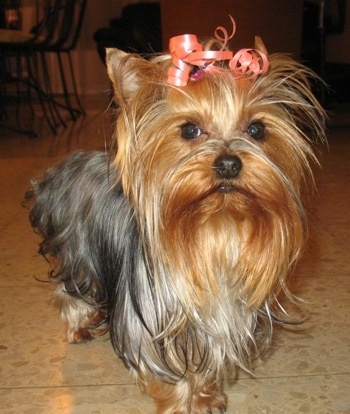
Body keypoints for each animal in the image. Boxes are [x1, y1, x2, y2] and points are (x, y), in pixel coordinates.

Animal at [27, 19, 326, 414]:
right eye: (189, 130)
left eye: (257, 129)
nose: (229, 163)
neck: (215, 230)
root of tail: (67, 165)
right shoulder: (150, 325)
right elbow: (167, 371)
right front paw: (180, 402)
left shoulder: (216, 319)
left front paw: (205, 397)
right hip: (78, 254)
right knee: (69, 290)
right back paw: (79, 327)